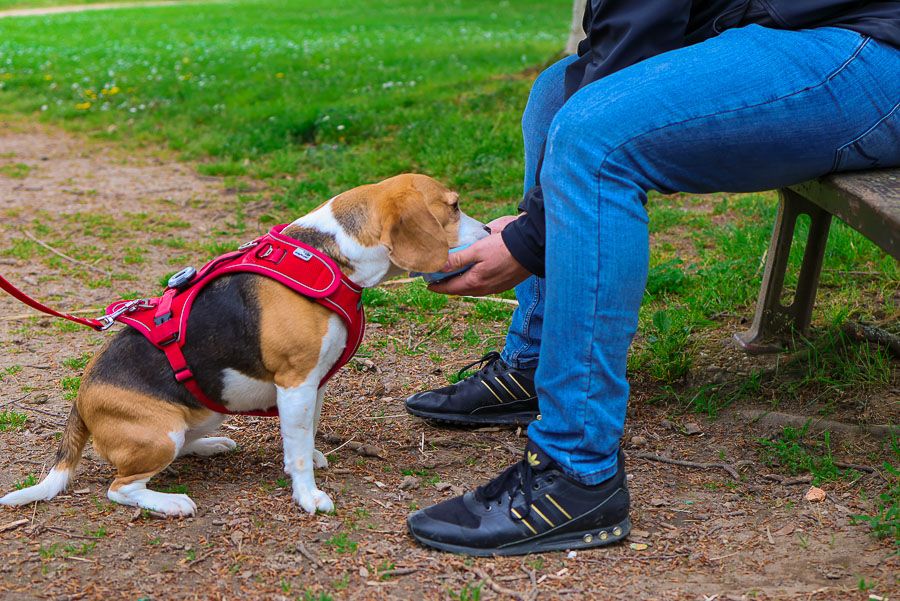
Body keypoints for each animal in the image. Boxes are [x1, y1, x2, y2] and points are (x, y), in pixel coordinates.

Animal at [0, 173, 488, 516]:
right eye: (453, 206)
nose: (488, 230)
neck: (329, 252)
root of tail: (80, 401)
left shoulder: (315, 384)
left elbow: (305, 432)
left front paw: (310, 455)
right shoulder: (295, 381)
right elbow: (297, 450)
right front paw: (308, 495)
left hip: (205, 410)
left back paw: (209, 446)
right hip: (159, 433)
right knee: (120, 488)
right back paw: (169, 502)